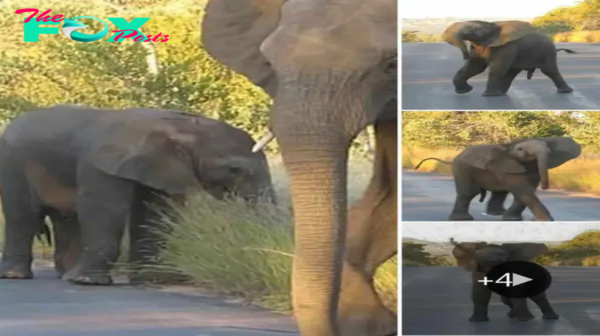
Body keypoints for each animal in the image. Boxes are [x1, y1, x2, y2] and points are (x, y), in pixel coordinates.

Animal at [0, 105, 276, 286]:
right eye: (234, 169)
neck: (173, 123)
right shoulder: (99, 165)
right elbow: (105, 210)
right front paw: (90, 282)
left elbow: (154, 213)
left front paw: (152, 279)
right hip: (12, 165)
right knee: (22, 217)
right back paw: (19, 276)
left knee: (67, 220)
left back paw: (68, 275)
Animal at [414, 136, 580, 220]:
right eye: (521, 149)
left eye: (548, 147)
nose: (546, 187)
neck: (510, 147)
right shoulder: (505, 165)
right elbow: (523, 190)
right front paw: (546, 221)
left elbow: (525, 191)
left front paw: (513, 219)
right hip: (461, 167)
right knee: (469, 192)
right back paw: (462, 219)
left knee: (499, 192)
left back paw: (497, 214)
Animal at [440, 20, 576, 95]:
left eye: (477, 29)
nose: (465, 55)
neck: (494, 25)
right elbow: (474, 67)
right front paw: (465, 91)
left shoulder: (507, 46)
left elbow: (497, 67)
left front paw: (489, 96)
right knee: (511, 72)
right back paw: (502, 93)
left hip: (548, 53)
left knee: (549, 71)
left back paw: (566, 92)